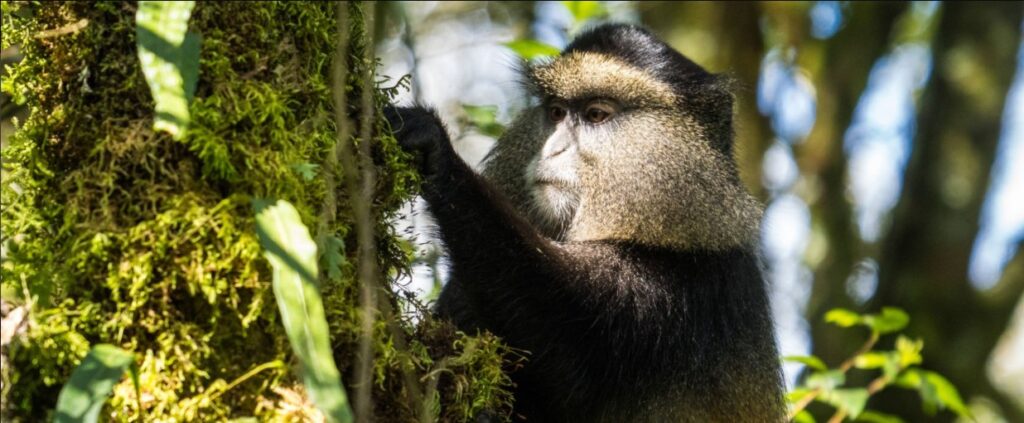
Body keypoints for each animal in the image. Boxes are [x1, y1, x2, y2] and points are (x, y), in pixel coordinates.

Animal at [386, 23, 784, 422]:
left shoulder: (674, 294)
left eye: (596, 115)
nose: (552, 149)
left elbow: (560, 330)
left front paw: (438, 154)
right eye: (556, 112)